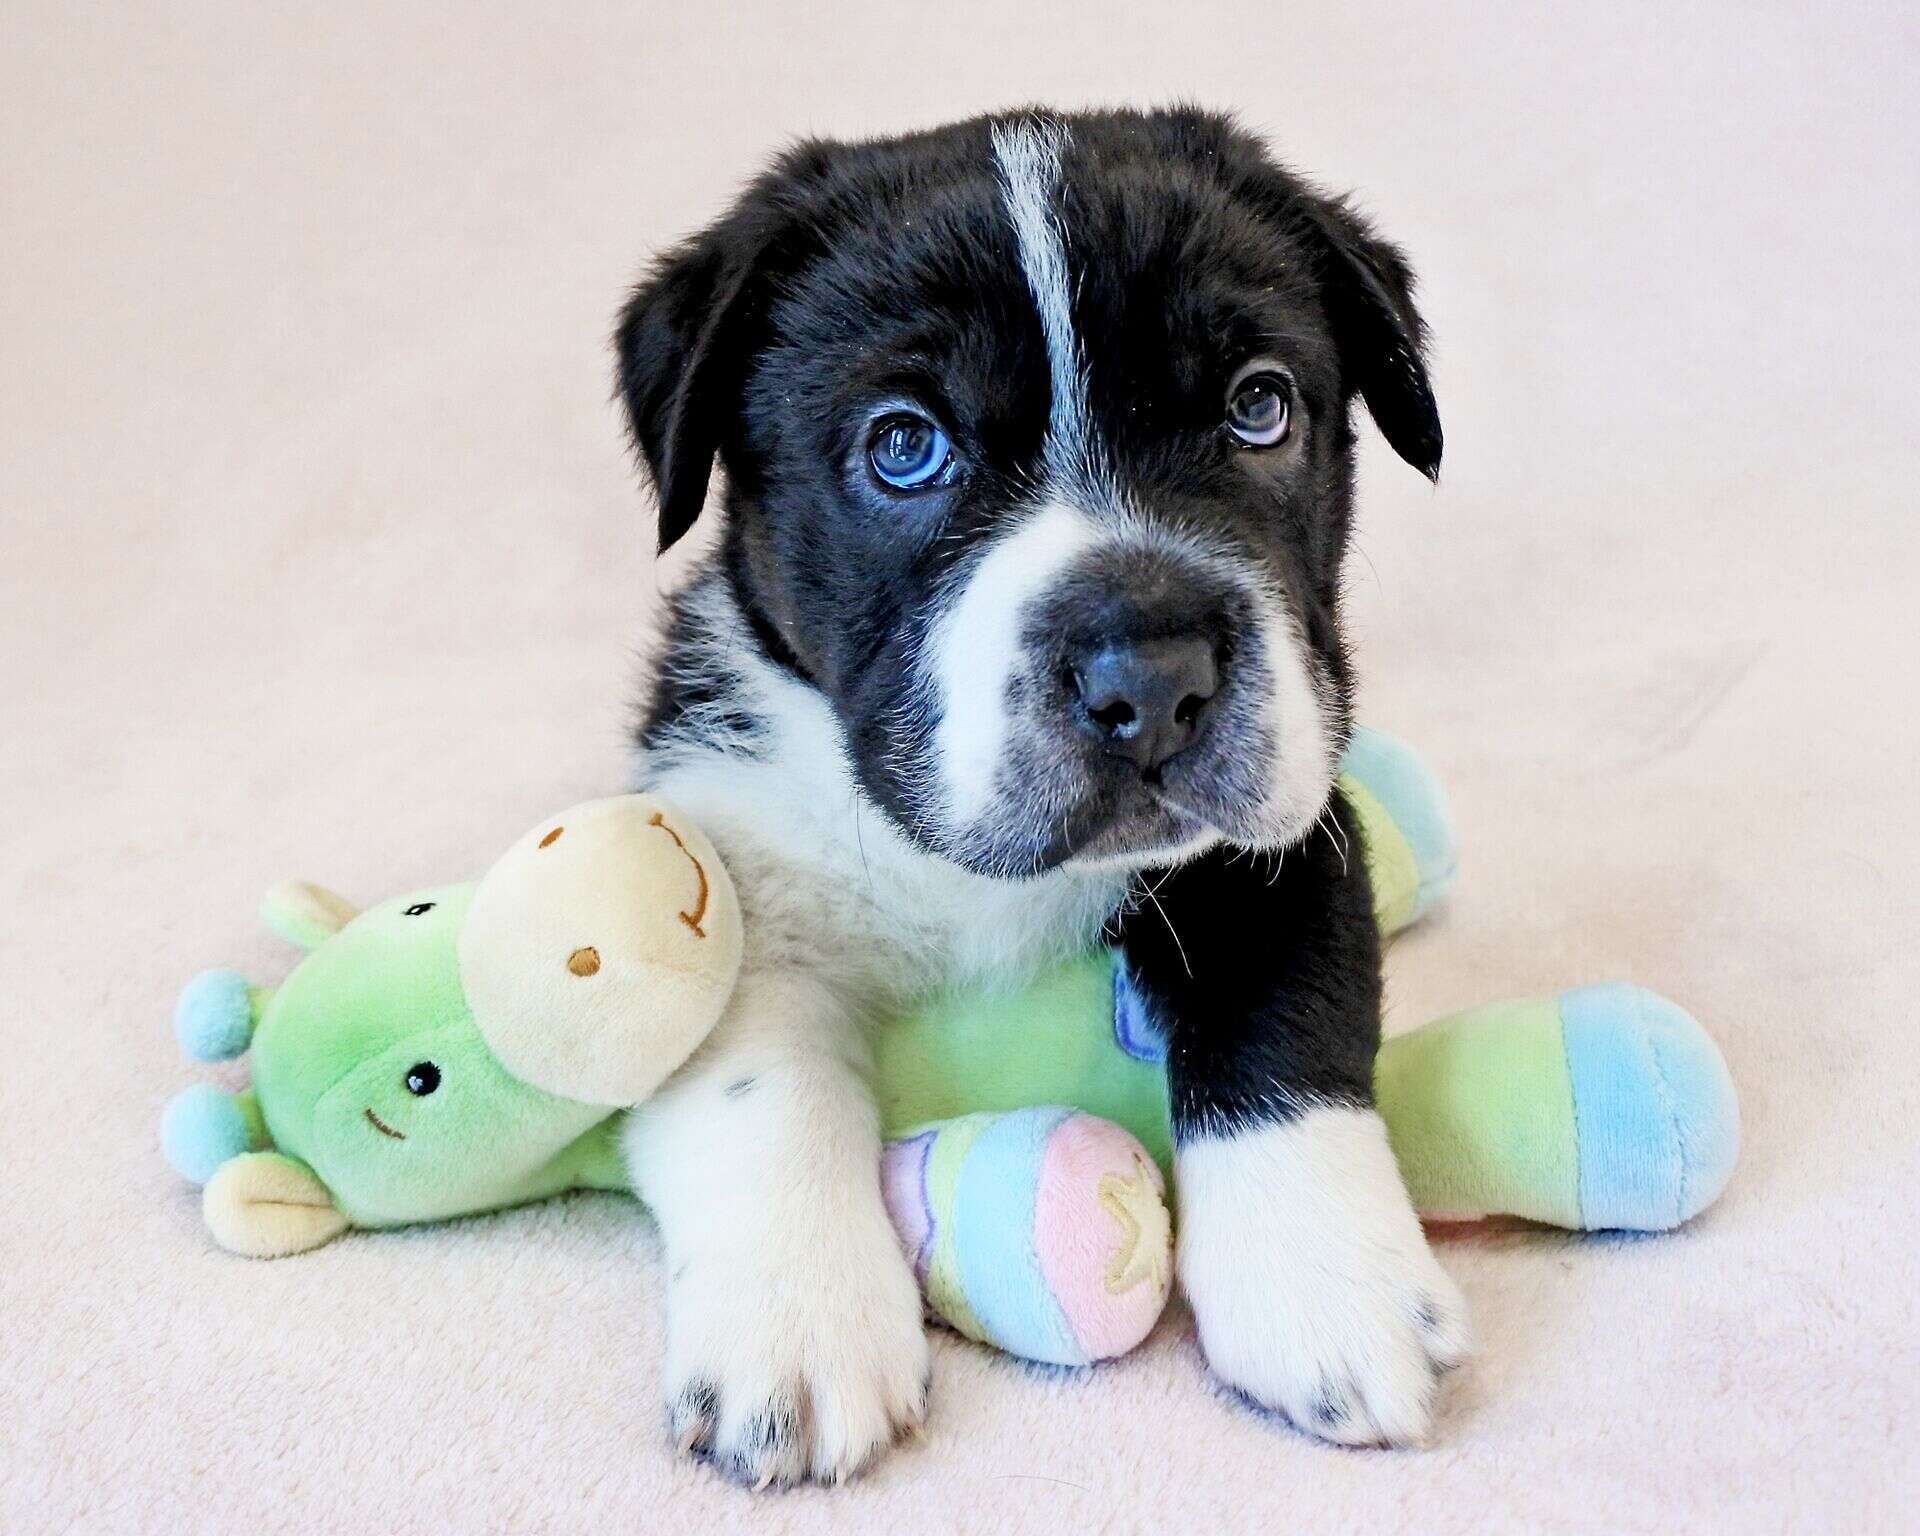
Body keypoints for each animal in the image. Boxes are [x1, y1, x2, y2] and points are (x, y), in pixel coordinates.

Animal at [614, 108, 1466, 1489]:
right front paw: (796, 1331)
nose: (1152, 678)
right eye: (905, 447)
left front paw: (1328, 1288)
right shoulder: (722, 868)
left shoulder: (1286, 832)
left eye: (1260, 408)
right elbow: (760, 1095)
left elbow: (1285, 1031)